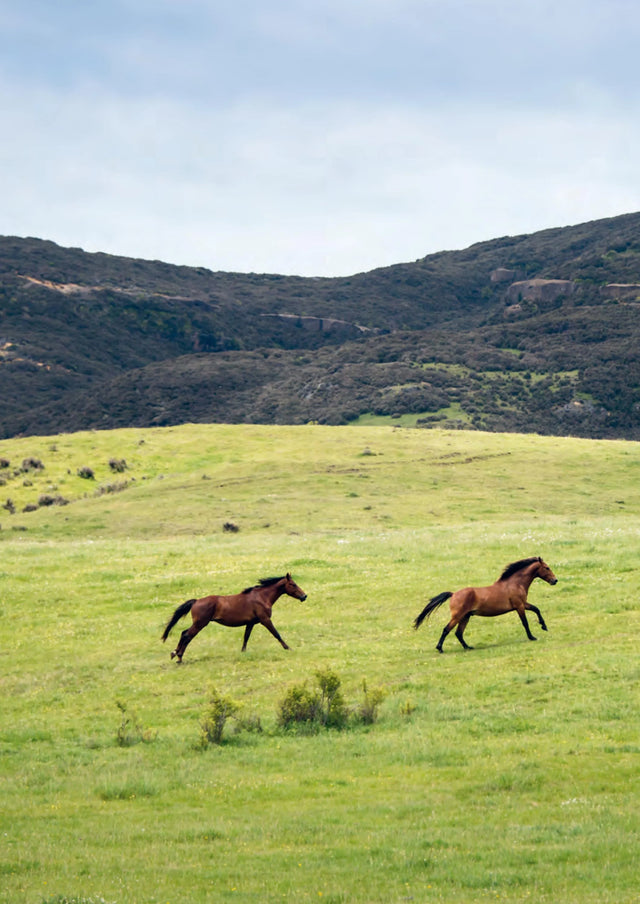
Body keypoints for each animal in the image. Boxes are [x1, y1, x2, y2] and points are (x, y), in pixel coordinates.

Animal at [161, 573, 307, 663]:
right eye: (293, 584)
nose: (304, 596)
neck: (262, 597)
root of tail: (196, 601)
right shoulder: (265, 620)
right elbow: (276, 634)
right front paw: (288, 648)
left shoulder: (250, 623)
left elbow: (246, 637)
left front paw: (243, 652)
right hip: (200, 624)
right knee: (187, 635)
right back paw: (179, 657)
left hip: (198, 623)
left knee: (183, 633)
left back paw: (174, 653)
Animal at [413, 557, 557, 653]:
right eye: (547, 568)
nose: (555, 580)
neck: (515, 583)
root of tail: (453, 594)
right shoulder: (519, 606)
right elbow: (525, 622)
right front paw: (532, 637)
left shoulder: (523, 604)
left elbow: (537, 609)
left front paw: (544, 626)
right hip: (458, 616)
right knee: (446, 630)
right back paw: (440, 648)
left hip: (466, 616)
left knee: (458, 633)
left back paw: (468, 647)